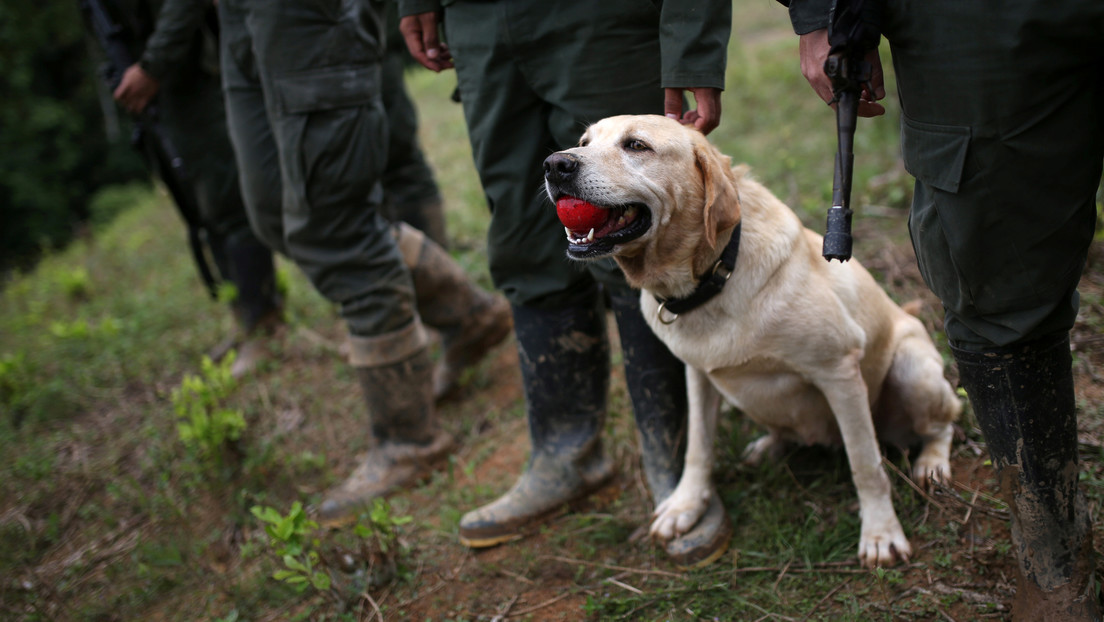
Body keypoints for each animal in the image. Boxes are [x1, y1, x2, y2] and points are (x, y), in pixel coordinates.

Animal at [547, 114, 962, 565]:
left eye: (636, 145)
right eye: (583, 141)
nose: (555, 164)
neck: (714, 276)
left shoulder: (838, 371)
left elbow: (865, 464)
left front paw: (881, 533)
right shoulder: (698, 374)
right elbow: (697, 448)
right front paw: (685, 506)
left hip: (913, 371)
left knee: (946, 420)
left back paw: (931, 464)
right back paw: (769, 446)